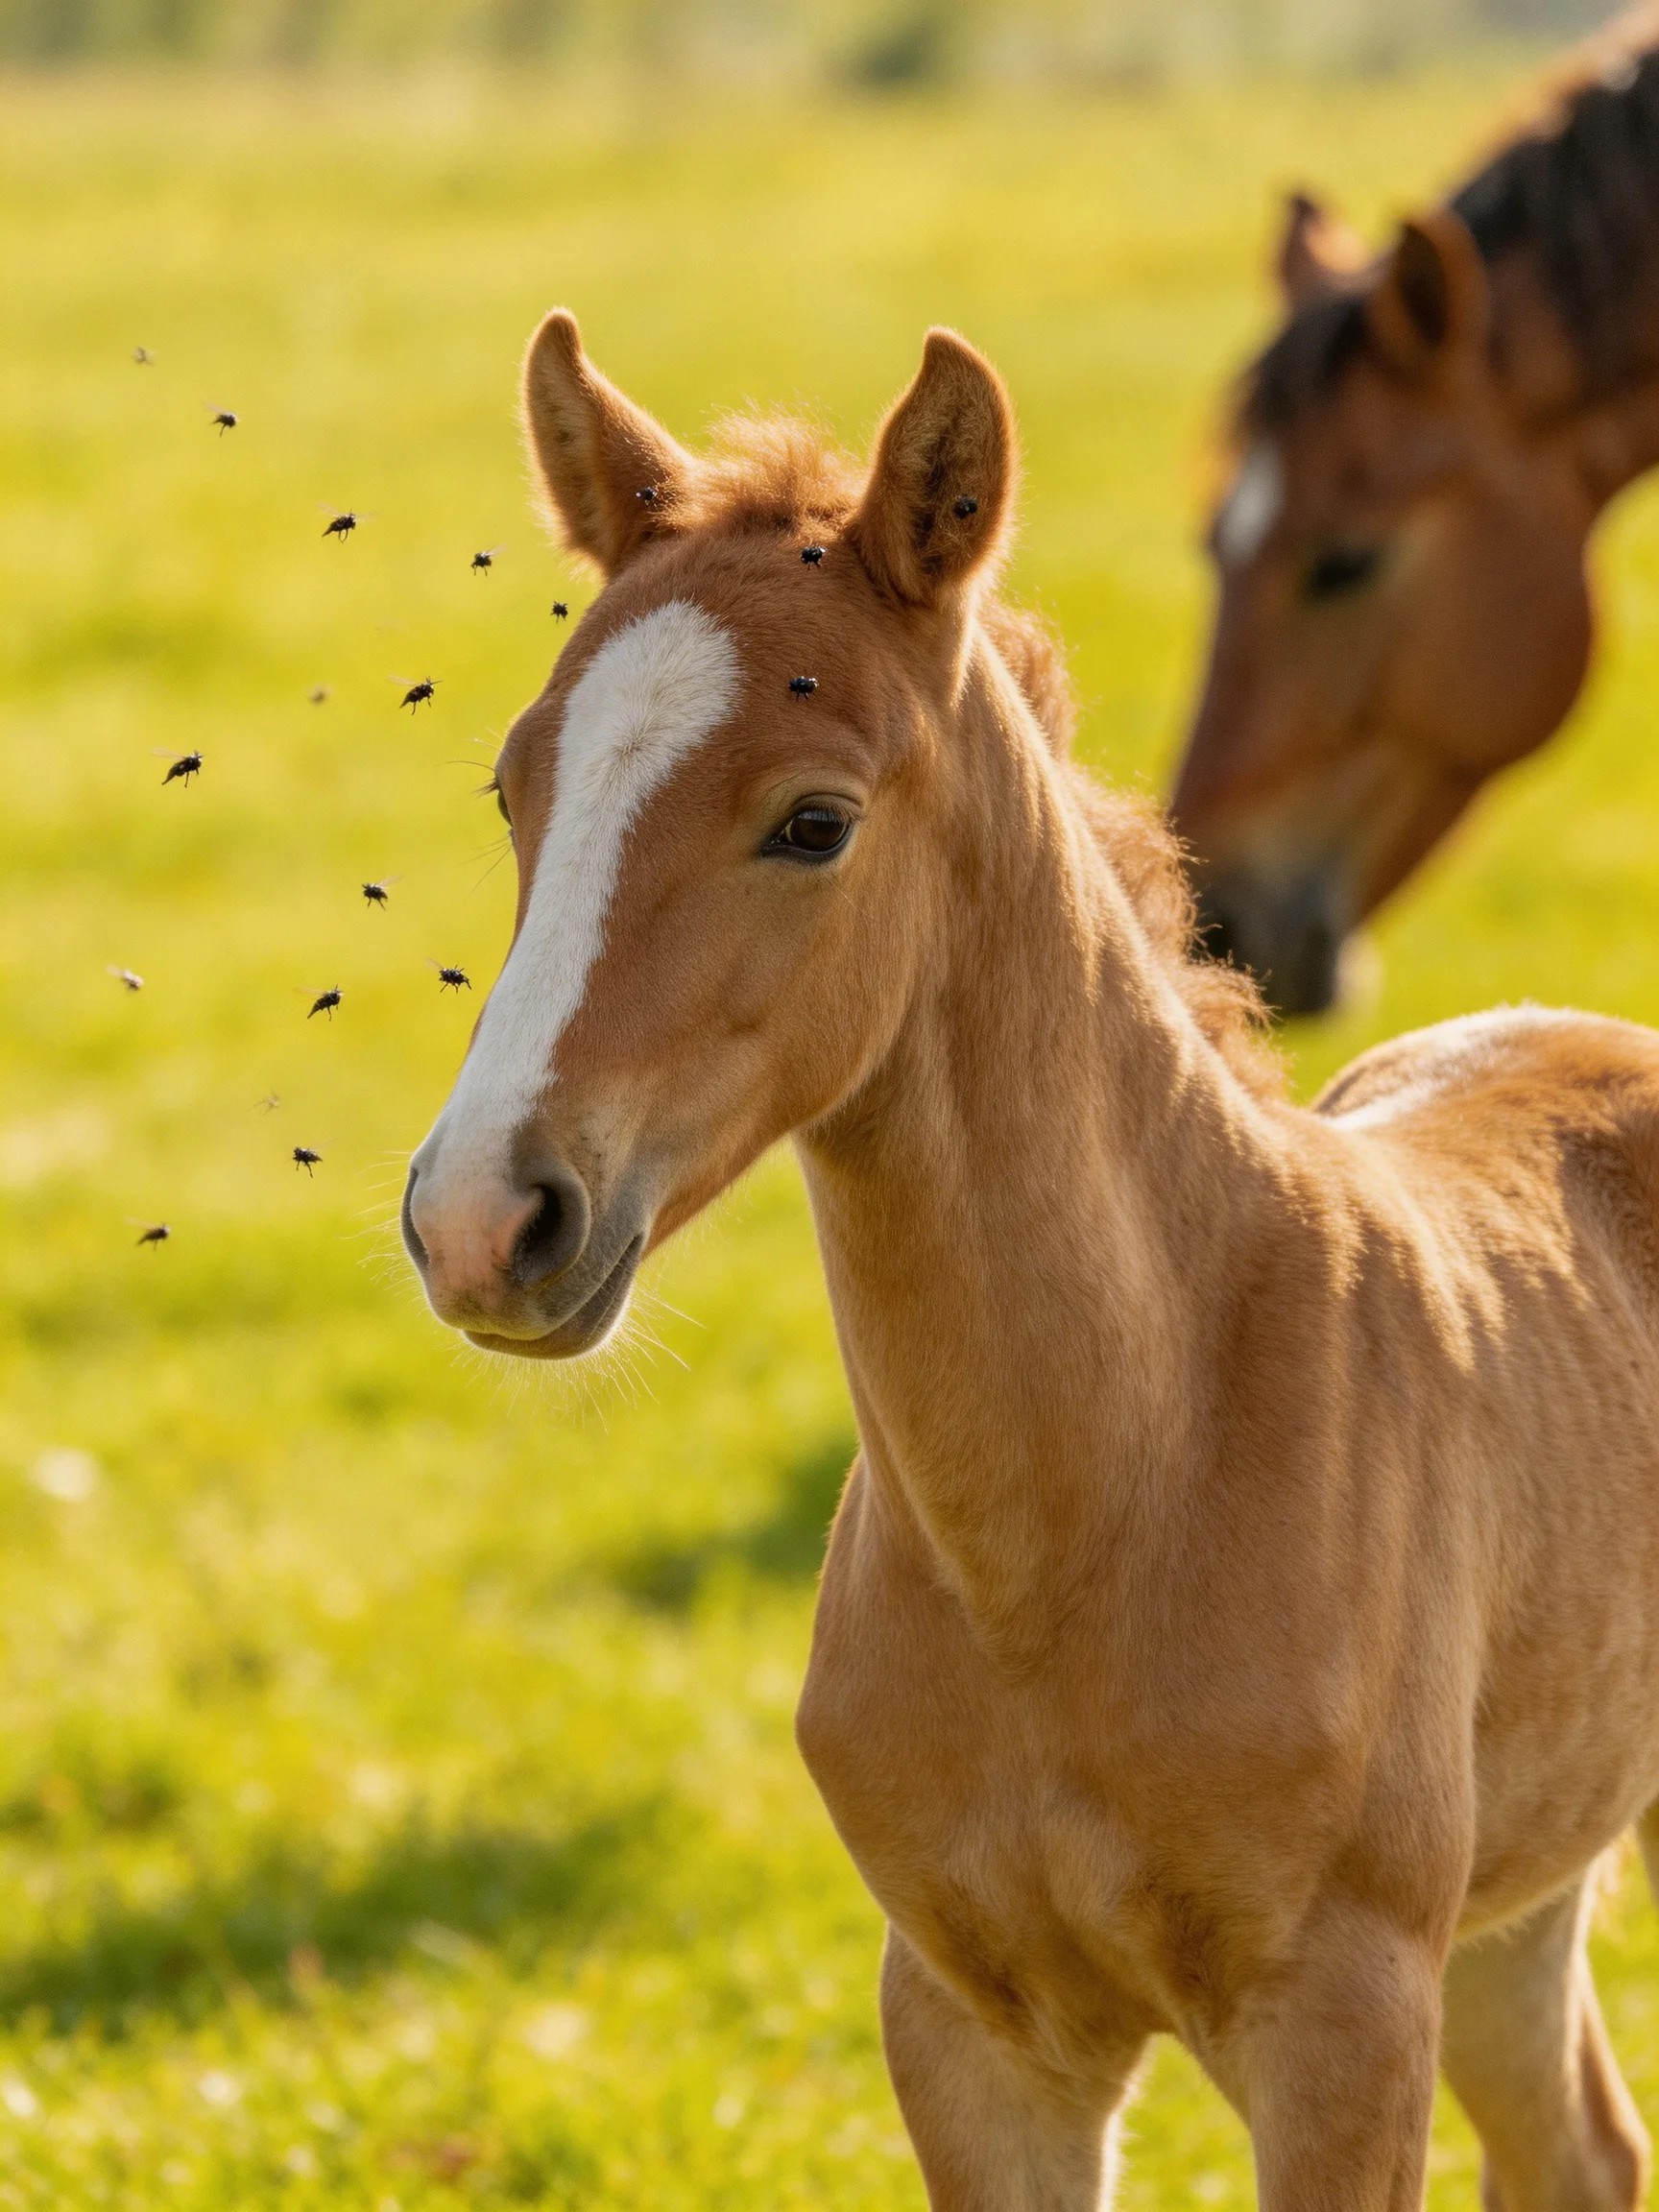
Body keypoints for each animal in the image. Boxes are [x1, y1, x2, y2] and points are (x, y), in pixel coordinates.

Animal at [402, 310, 1659, 2212]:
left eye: (815, 821)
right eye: (512, 782)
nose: (483, 1219)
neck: (1104, 1499)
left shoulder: (1345, 2022)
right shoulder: (968, 2028)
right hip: (1522, 1889)